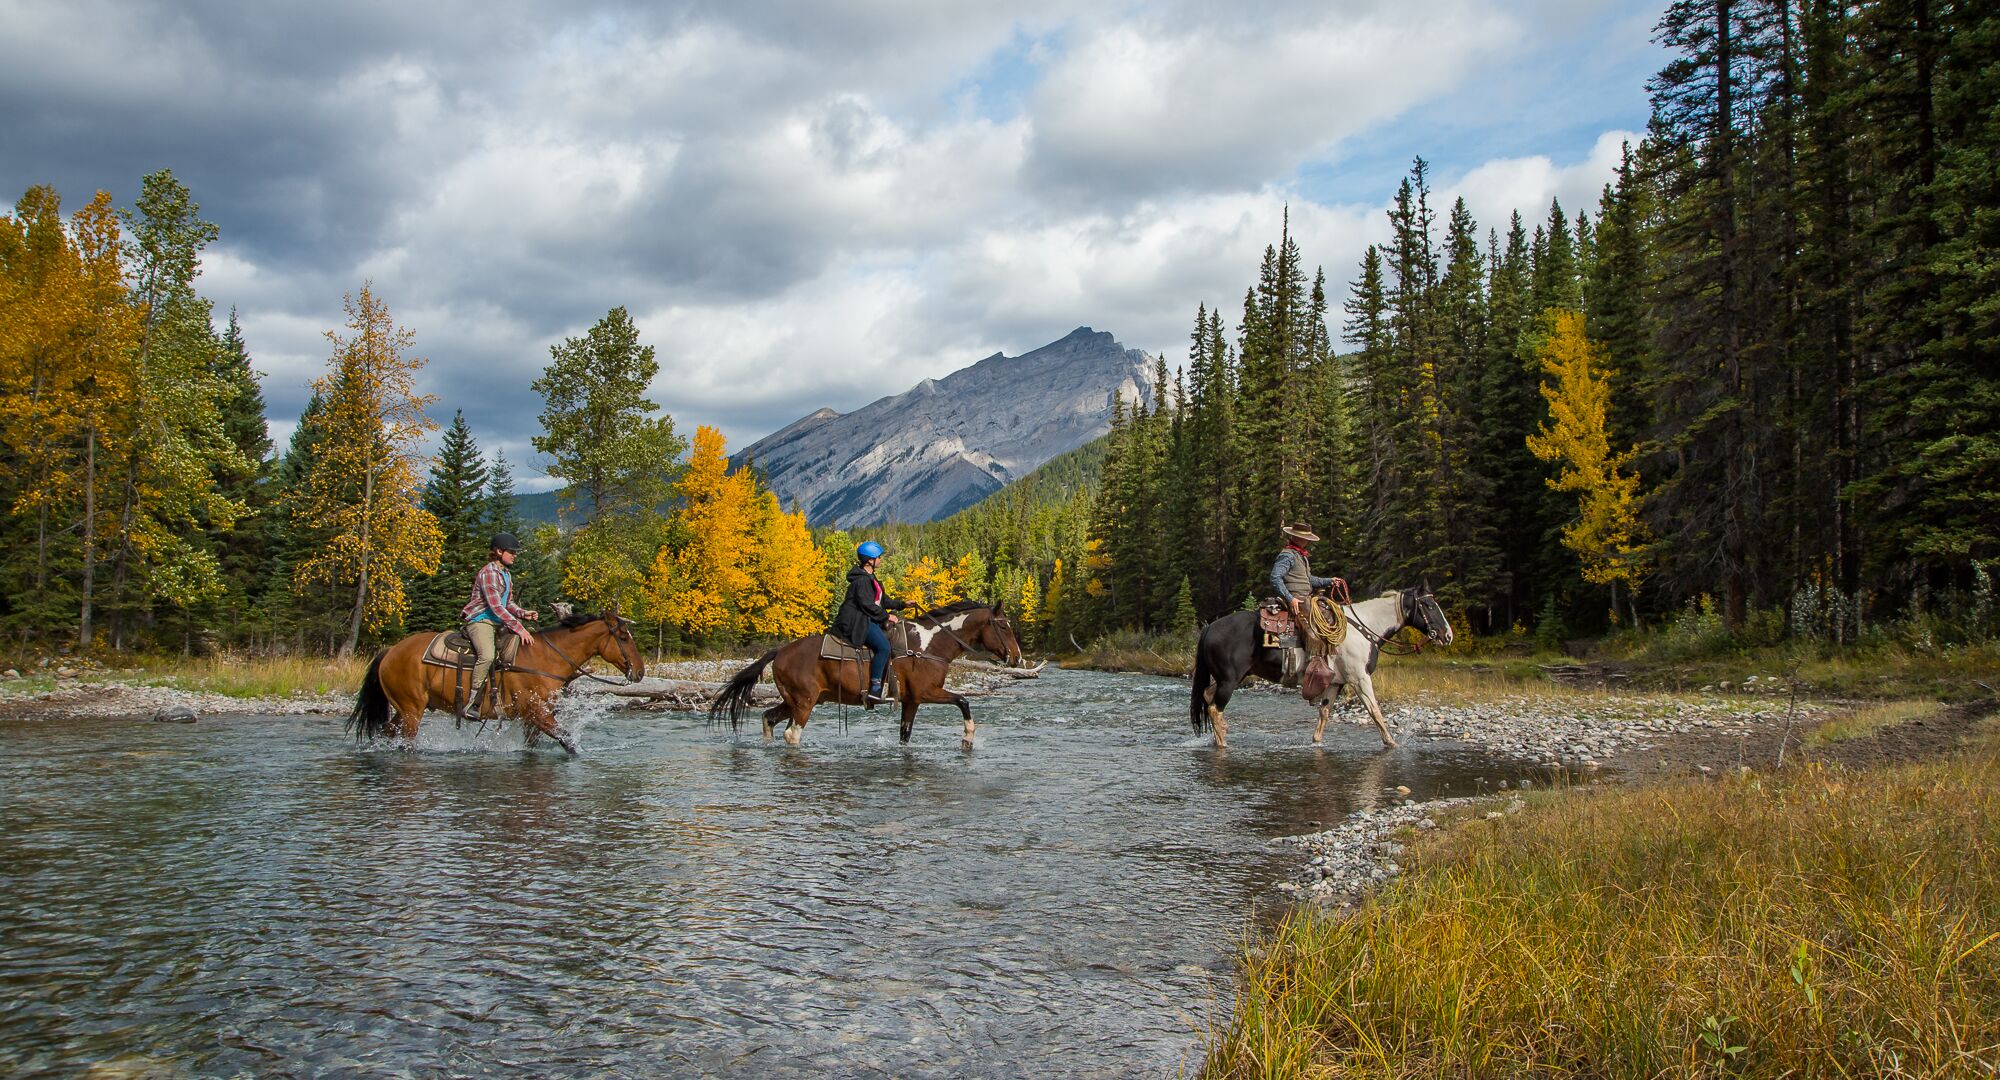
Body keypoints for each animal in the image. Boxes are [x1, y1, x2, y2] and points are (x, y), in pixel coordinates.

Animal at [342, 612, 640, 756]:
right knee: (405, 742)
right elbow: (567, 740)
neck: (546, 658)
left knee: (386, 731)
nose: (640, 671)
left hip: (405, 709)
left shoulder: (533, 717)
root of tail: (390, 651)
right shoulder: (536, 711)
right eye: (624, 637)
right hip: (412, 710)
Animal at [712, 604, 1024, 748]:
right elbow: (963, 701)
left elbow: (905, 734)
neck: (929, 646)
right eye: (1004, 626)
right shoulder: (928, 692)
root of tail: (780, 651)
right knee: (792, 734)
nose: (1018, 658)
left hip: (794, 700)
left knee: (768, 719)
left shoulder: (912, 701)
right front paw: (968, 738)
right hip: (804, 702)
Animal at [1184, 592, 1456, 752]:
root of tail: (1209, 628)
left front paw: (1316, 742)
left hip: (1231, 678)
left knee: (1207, 697)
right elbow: (1375, 711)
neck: (1363, 628)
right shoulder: (1360, 679)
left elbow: (1324, 713)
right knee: (1214, 708)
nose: (1447, 635)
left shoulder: (1336, 683)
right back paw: (1223, 743)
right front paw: (1392, 743)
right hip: (1230, 680)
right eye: (1429, 606)